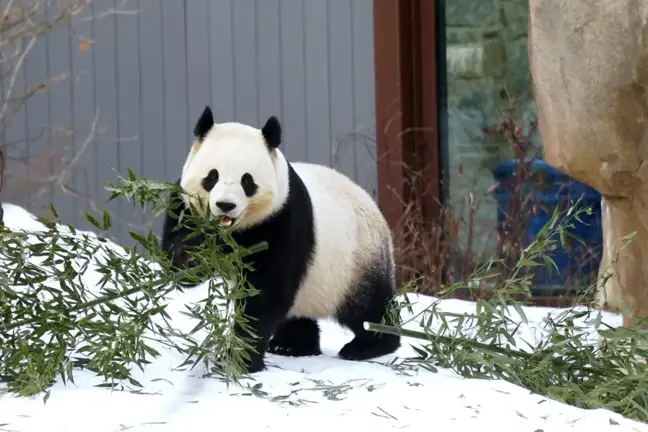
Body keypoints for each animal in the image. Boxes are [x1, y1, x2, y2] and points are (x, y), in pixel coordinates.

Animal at [162, 106, 400, 372]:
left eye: (247, 180)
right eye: (212, 176)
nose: (225, 205)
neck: (232, 232)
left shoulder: (282, 219)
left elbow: (266, 293)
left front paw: (240, 359)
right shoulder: (184, 206)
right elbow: (180, 265)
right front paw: (191, 256)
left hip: (356, 262)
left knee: (368, 307)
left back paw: (368, 345)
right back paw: (291, 345)